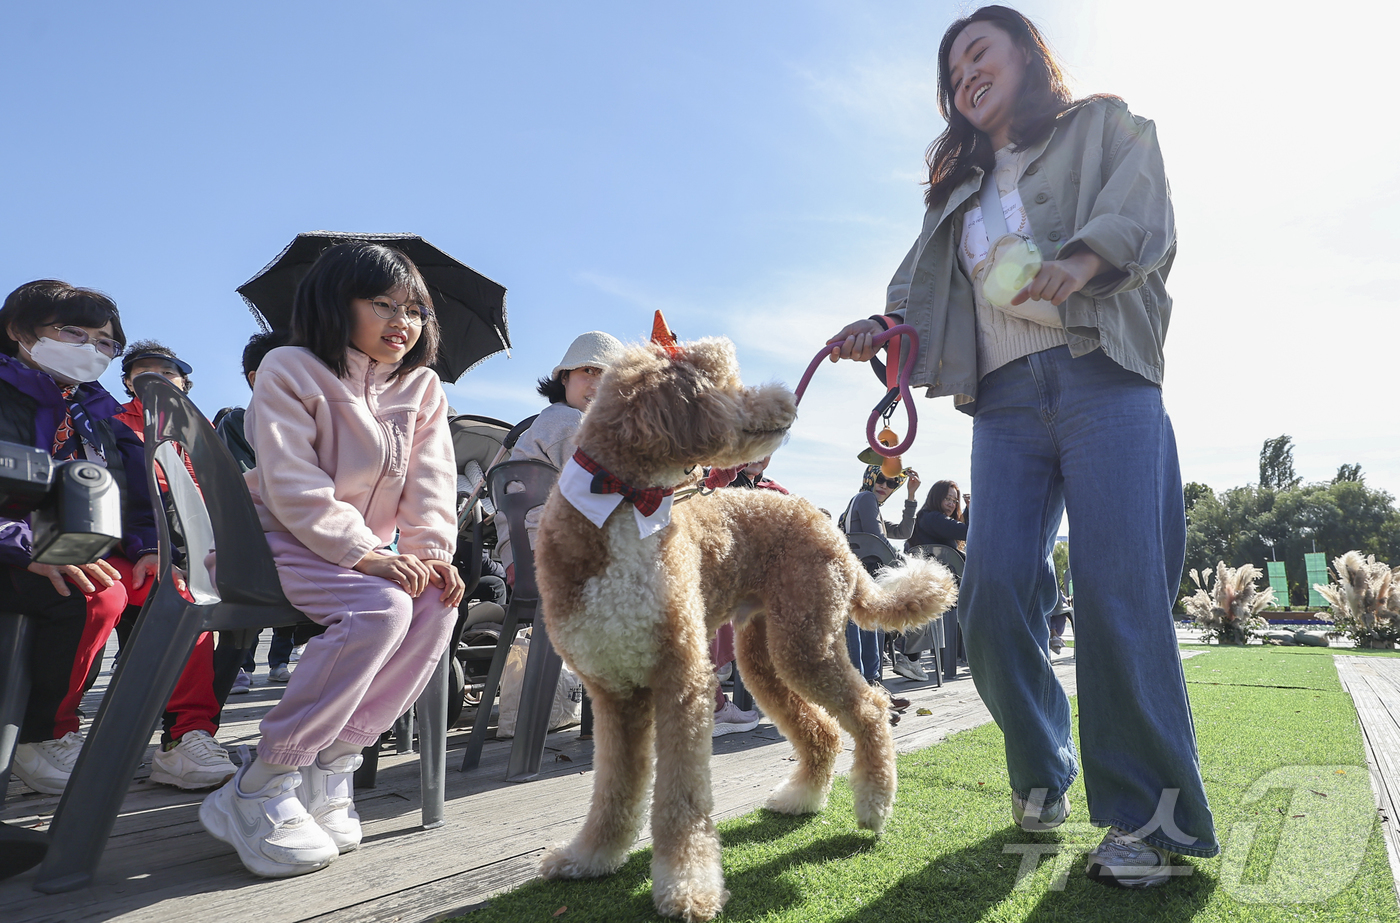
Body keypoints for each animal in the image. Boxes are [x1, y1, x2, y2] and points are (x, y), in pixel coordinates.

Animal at [529, 338, 957, 923]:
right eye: (726, 385)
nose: (787, 400)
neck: (623, 502)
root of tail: (830, 529)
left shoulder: (682, 682)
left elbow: (680, 800)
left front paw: (688, 885)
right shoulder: (615, 692)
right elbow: (614, 790)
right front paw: (589, 857)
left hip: (803, 641)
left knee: (868, 706)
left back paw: (873, 806)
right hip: (765, 654)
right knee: (823, 728)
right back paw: (802, 798)